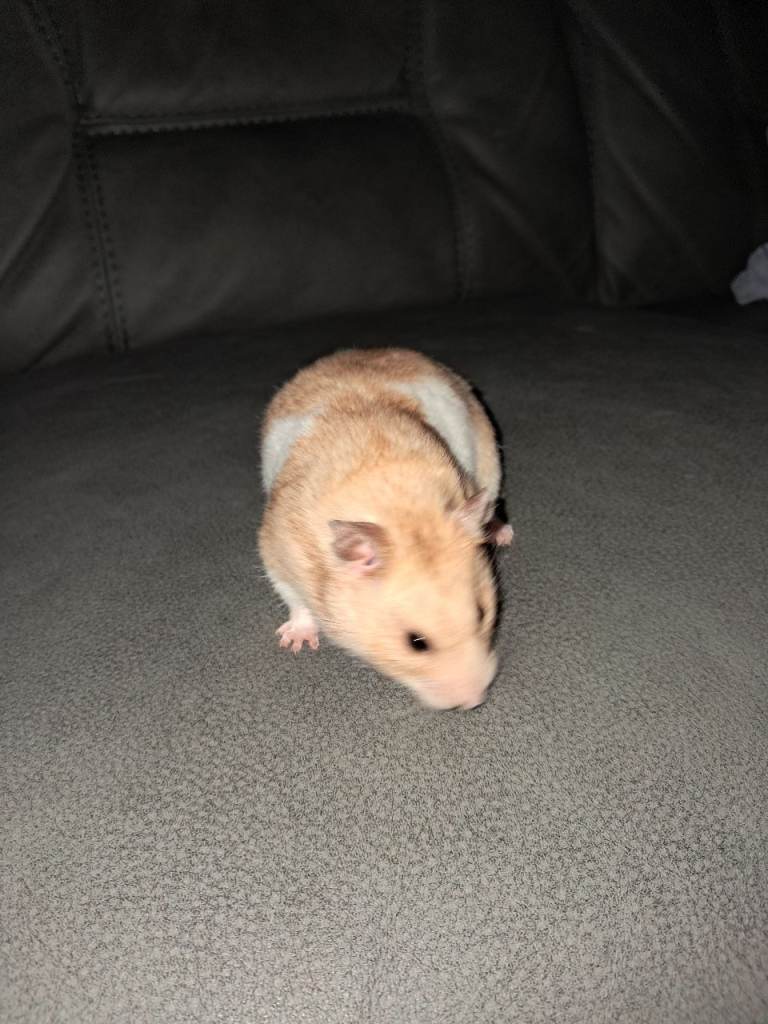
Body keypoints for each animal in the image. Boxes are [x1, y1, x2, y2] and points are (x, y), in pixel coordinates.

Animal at [258, 348, 513, 710]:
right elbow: (294, 597)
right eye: (416, 642)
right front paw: (295, 643)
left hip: (489, 460)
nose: (474, 702)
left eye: (481, 613)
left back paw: (501, 534)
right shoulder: (277, 549)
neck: (401, 511)